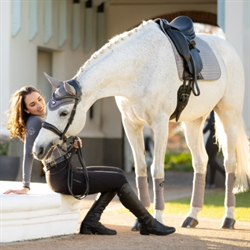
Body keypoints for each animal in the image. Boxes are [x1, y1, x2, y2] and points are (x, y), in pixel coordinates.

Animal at [33, 19, 250, 229]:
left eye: (64, 112)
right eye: (48, 109)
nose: (38, 149)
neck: (140, 68)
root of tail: (229, 49)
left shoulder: (160, 124)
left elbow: (157, 171)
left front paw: (158, 218)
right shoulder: (131, 124)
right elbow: (140, 170)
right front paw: (141, 220)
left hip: (228, 115)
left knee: (230, 163)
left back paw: (229, 218)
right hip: (193, 122)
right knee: (200, 162)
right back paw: (192, 216)